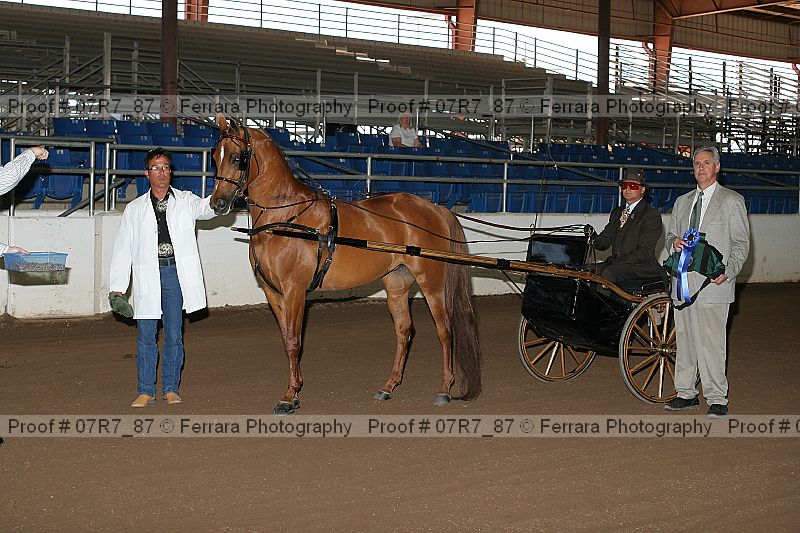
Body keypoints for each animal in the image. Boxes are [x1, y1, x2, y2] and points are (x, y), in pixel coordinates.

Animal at [210, 113, 481, 414]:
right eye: (214, 156)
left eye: (237, 157)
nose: (217, 204)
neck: (286, 218)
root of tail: (436, 208)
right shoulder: (273, 293)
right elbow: (286, 338)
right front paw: (295, 388)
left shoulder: (295, 291)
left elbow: (294, 341)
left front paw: (289, 397)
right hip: (396, 281)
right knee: (404, 330)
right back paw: (388, 386)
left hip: (431, 282)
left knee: (445, 330)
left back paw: (444, 389)